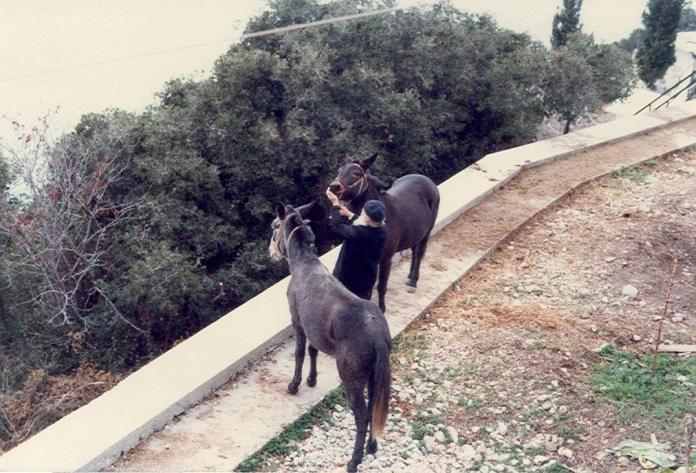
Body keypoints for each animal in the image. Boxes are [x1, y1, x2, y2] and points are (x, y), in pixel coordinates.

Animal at [268, 203, 392, 472]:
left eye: (274, 227)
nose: (270, 252)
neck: (303, 263)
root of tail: (377, 335)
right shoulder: (315, 326)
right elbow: (313, 350)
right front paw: (312, 379)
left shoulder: (298, 321)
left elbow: (300, 352)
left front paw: (294, 385)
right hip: (375, 372)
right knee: (375, 404)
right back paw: (372, 447)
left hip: (351, 375)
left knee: (362, 414)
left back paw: (354, 460)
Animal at [327, 154, 440, 312]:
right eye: (339, 170)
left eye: (356, 173)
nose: (334, 187)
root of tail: (427, 180)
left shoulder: (386, 258)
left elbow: (381, 285)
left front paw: (382, 308)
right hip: (416, 232)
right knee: (414, 250)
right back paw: (410, 277)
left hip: (427, 232)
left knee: (419, 253)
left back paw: (413, 282)